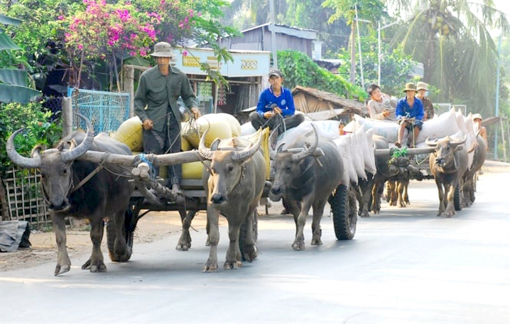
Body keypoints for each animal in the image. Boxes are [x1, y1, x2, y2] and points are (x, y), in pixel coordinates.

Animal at [6, 115, 134, 274]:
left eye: (65, 170)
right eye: (42, 174)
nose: (58, 203)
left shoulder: (97, 212)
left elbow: (95, 236)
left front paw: (97, 264)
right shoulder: (54, 212)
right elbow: (60, 238)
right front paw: (62, 265)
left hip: (123, 203)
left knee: (119, 222)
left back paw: (120, 250)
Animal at [196, 132, 264, 270]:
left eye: (230, 168)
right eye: (212, 168)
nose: (218, 197)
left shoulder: (240, 209)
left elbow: (233, 234)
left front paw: (231, 260)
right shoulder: (212, 205)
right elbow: (214, 236)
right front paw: (210, 263)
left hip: (254, 203)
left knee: (248, 221)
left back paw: (248, 251)